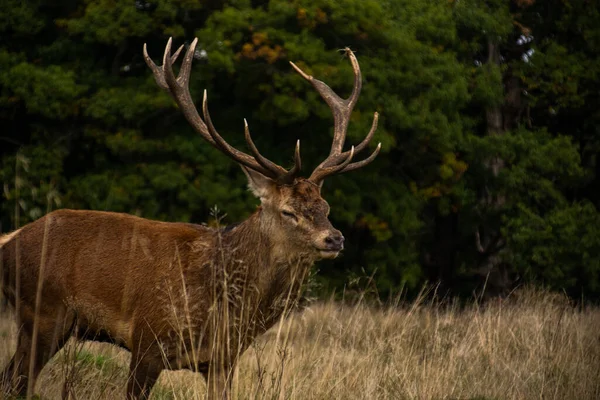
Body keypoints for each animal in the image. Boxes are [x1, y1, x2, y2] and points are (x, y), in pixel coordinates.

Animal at [1, 36, 380, 396]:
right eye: (288, 211)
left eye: (325, 208)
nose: (335, 238)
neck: (226, 313)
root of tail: (9, 241)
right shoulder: (148, 340)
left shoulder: (222, 361)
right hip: (44, 311)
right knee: (17, 381)